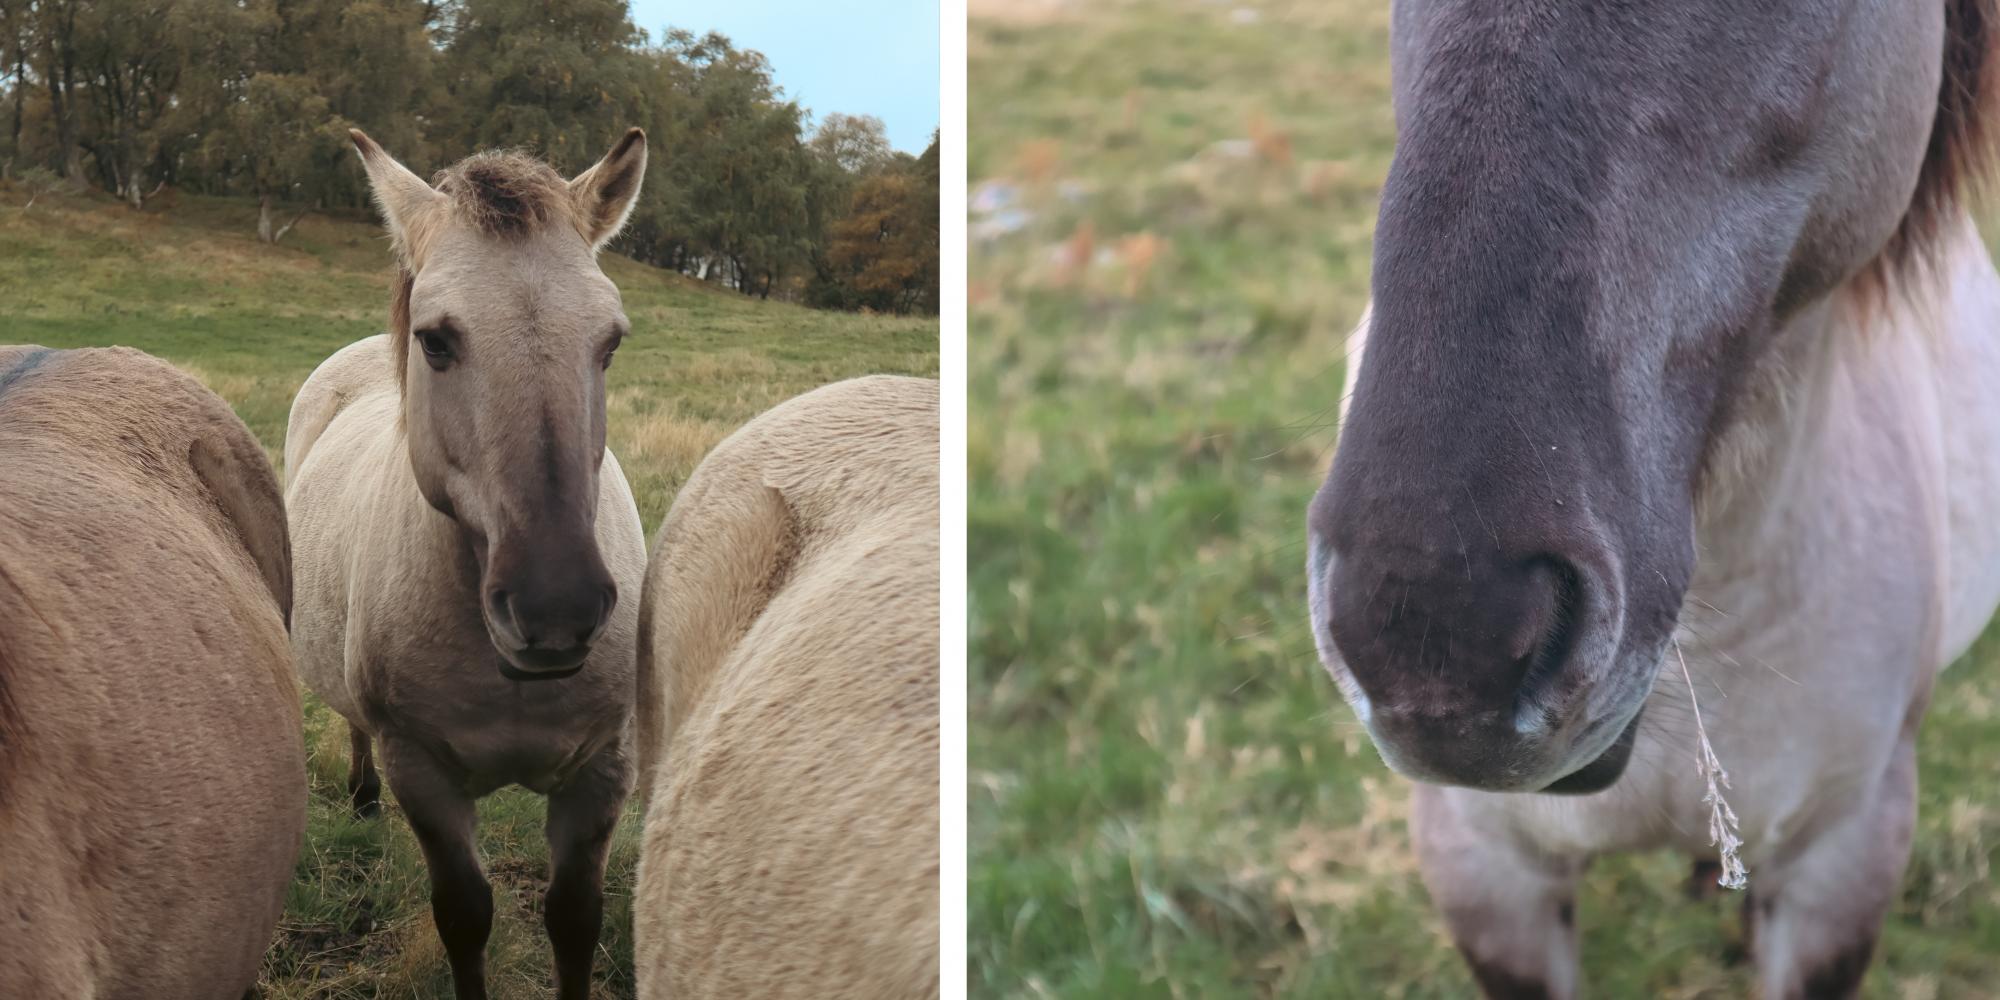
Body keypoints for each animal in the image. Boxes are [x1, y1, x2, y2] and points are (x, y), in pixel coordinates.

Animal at [284, 129, 650, 1000]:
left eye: (610, 340)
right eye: (436, 339)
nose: (556, 611)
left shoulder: (604, 771)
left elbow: (574, 920)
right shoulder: (424, 775)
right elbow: (465, 917)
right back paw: (360, 802)